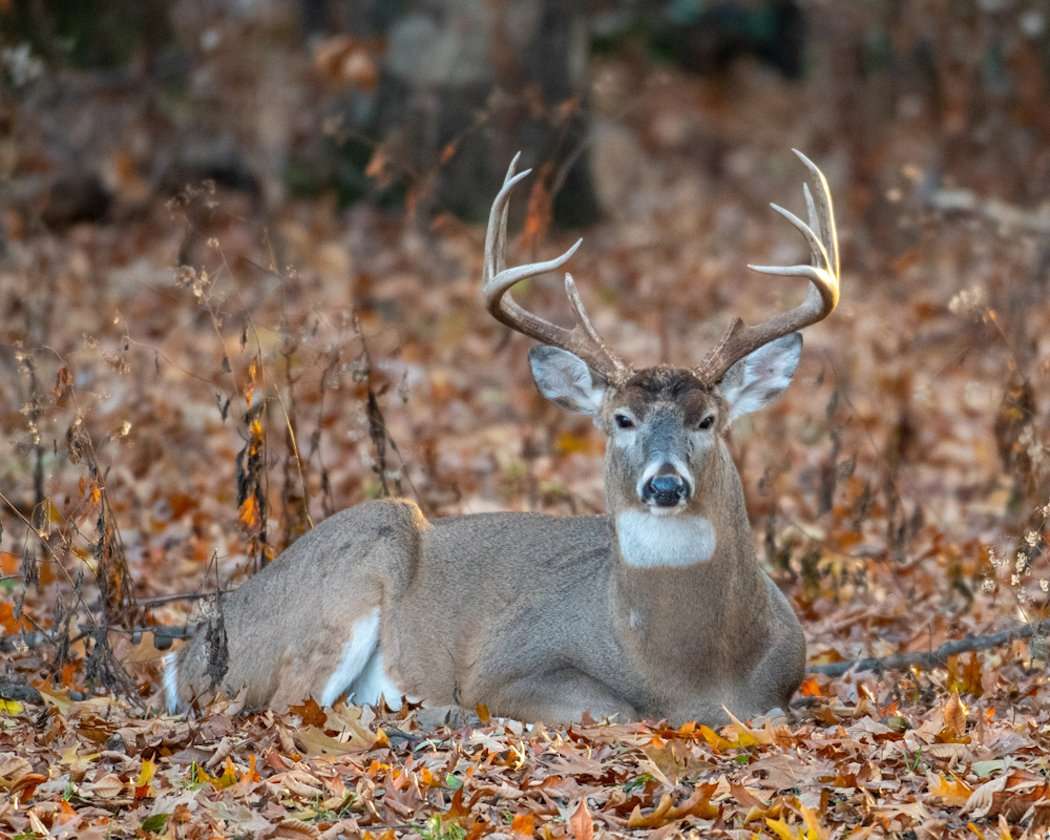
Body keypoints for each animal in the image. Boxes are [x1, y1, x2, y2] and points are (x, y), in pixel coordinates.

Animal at [165, 149, 840, 725]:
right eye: (621, 419)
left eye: (707, 420)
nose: (666, 484)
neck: (691, 675)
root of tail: (188, 657)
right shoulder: (507, 662)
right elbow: (616, 709)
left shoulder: (782, 687)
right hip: (351, 566)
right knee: (286, 705)